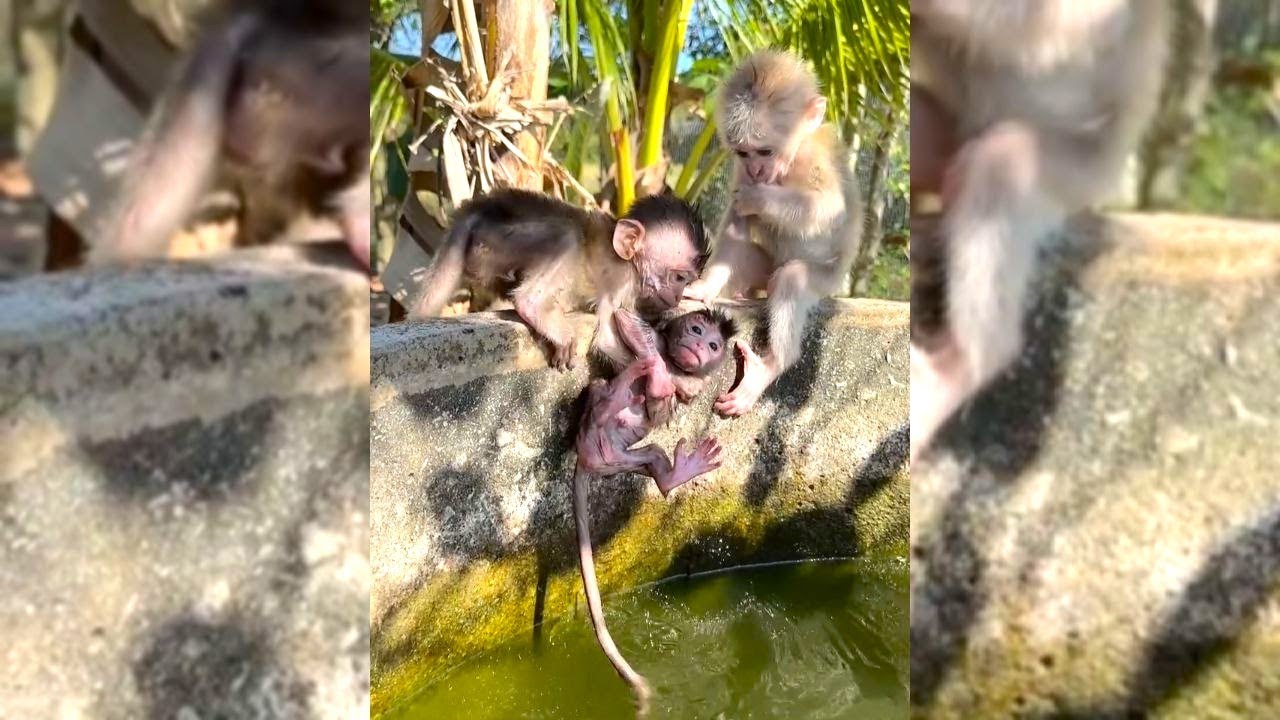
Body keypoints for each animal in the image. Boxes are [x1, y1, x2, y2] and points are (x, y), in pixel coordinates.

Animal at [411, 188, 708, 372]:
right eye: (679, 277)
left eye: (686, 281)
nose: (678, 294)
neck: (628, 261)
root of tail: (480, 208)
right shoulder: (622, 282)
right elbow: (607, 341)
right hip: (497, 243)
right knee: (567, 235)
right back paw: (536, 307)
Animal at [571, 306, 735, 714]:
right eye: (695, 329)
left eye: (714, 345)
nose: (698, 346)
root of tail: (589, 457)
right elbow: (626, 320)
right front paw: (655, 363)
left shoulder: (693, 387)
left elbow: (676, 399)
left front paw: (666, 387)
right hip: (598, 432)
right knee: (603, 389)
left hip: (621, 457)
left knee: (654, 456)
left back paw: (672, 474)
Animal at [683, 50, 862, 417]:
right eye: (743, 152)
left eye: (765, 151)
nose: (756, 169)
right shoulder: (742, 171)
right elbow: (735, 226)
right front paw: (706, 286)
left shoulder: (812, 158)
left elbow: (829, 208)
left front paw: (760, 199)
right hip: (760, 270)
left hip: (827, 279)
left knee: (792, 278)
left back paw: (773, 364)